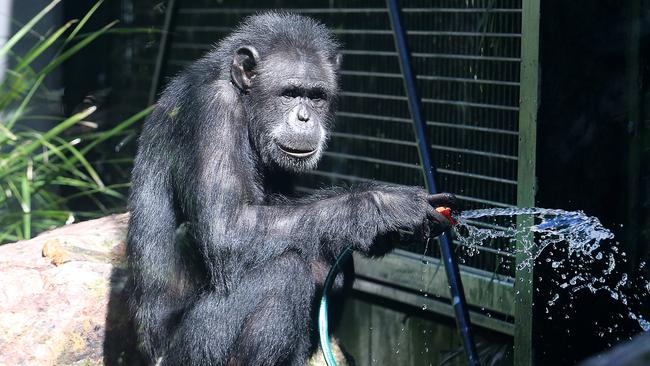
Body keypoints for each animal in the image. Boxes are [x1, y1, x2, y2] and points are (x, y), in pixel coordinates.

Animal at [126, 11, 456, 366]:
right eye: (288, 93)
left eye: (316, 96)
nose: (304, 118)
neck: (244, 103)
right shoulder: (211, 111)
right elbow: (227, 228)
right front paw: (386, 206)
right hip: (190, 353)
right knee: (283, 273)